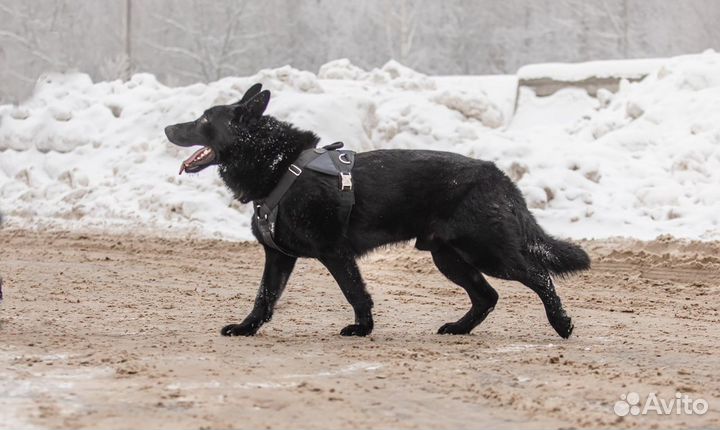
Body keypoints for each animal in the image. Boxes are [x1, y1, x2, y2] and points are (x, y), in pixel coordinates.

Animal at [166, 83, 588, 340]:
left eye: (203, 121)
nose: (168, 128)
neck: (281, 167)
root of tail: (496, 174)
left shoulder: (335, 253)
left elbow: (355, 292)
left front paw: (362, 328)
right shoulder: (278, 257)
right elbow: (264, 297)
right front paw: (247, 328)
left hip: (486, 251)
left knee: (539, 276)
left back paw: (562, 323)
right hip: (449, 257)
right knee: (487, 296)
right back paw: (460, 328)